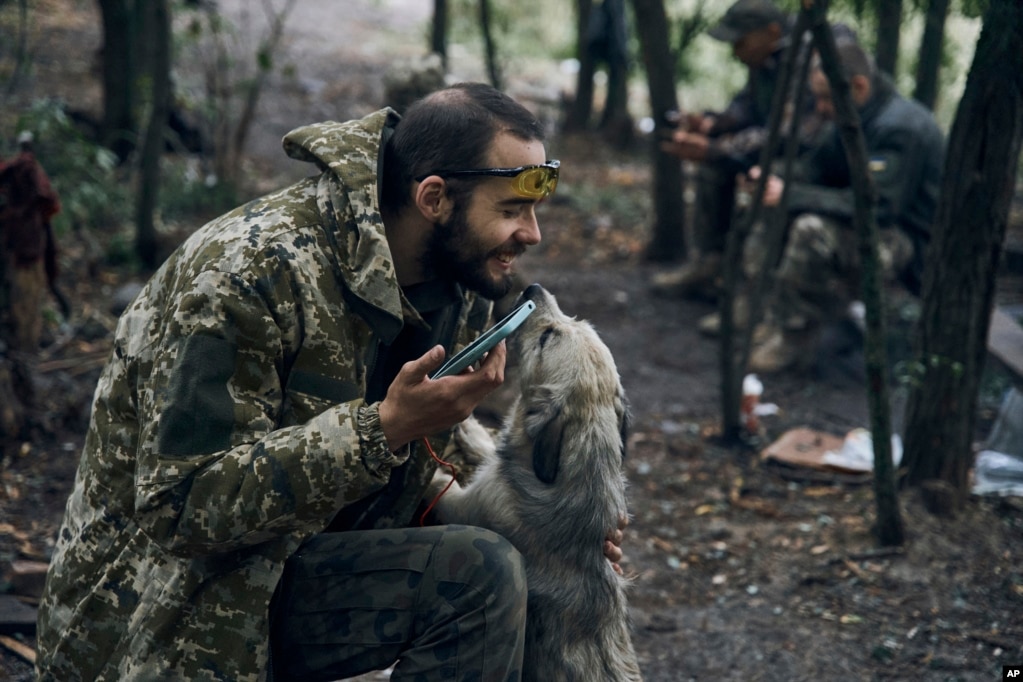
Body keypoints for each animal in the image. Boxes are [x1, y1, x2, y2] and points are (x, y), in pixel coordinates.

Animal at [425, 282, 638, 682]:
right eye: (575, 320)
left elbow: (442, 485)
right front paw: (469, 429)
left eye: (546, 337)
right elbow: (488, 449)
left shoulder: (468, 504)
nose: (532, 288)